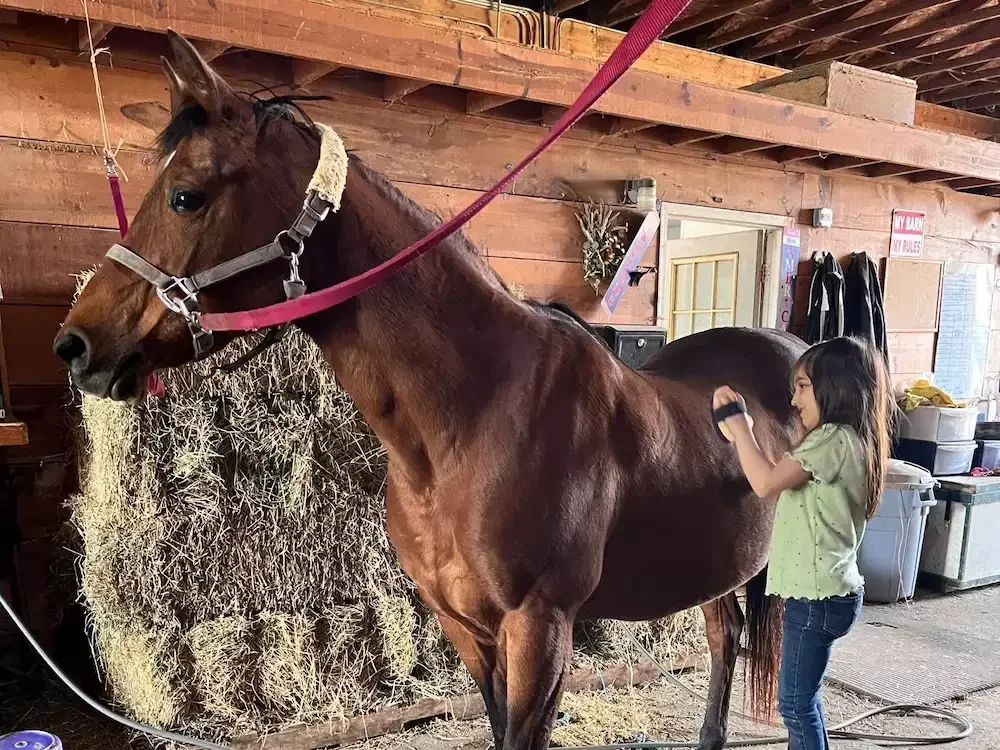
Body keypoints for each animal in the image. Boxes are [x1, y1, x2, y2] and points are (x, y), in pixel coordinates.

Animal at [55, 32, 805, 750]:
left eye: (186, 195)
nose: (77, 346)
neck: (476, 418)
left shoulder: (540, 628)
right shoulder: (463, 625)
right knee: (724, 636)